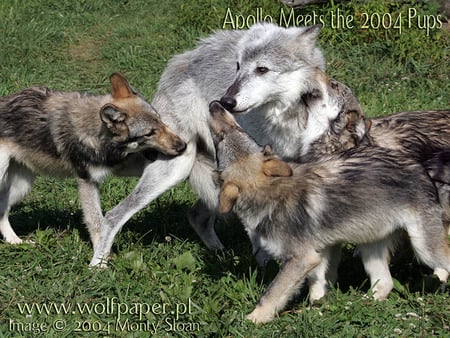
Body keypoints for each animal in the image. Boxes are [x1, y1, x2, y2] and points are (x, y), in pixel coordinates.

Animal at [0, 74, 186, 247]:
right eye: (149, 133)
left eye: (161, 121)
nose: (182, 146)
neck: (96, 133)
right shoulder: (86, 181)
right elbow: (96, 222)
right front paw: (101, 257)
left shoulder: (117, 166)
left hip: (22, 186)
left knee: (3, 210)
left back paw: (15, 241)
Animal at [90, 23, 326, 266]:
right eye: (238, 66)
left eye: (262, 69)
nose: (225, 101)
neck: (290, 120)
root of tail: (178, 62)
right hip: (176, 169)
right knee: (113, 216)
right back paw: (97, 266)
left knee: (196, 216)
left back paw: (219, 252)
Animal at [208, 101, 450, 324]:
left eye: (223, 137)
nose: (214, 104)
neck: (270, 193)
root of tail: (422, 169)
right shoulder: (319, 253)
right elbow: (318, 285)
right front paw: (317, 308)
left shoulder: (301, 258)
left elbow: (271, 293)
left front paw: (253, 319)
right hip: (370, 249)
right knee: (385, 284)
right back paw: (358, 305)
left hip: (424, 248)